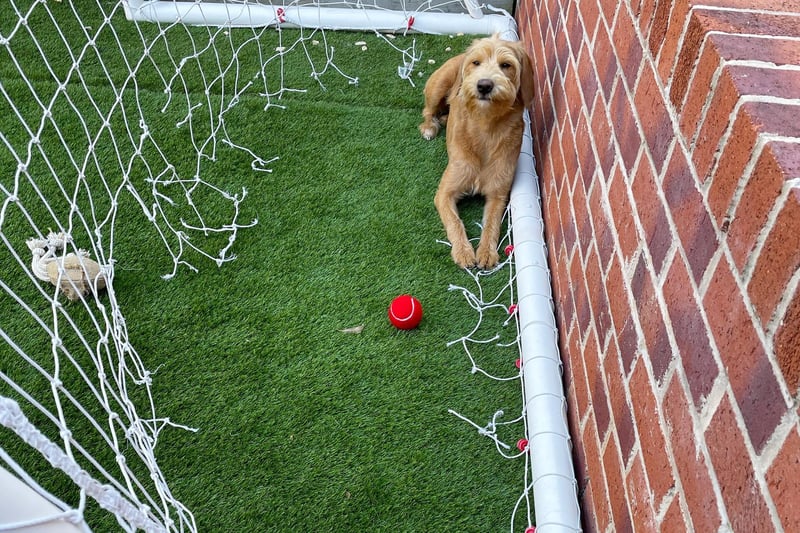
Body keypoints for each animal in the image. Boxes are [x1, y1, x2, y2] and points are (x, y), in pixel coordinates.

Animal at [422, 37, 536, 268]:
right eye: (476, 62)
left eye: (506, 65)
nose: (484, 85)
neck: (485, 128)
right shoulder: (445, 193)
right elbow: (455, 222)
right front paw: (463, 251)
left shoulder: (498, 194)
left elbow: (492, 222)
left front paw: (486, 252)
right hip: (438, 86)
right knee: (428, 110)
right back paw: (430, 127)